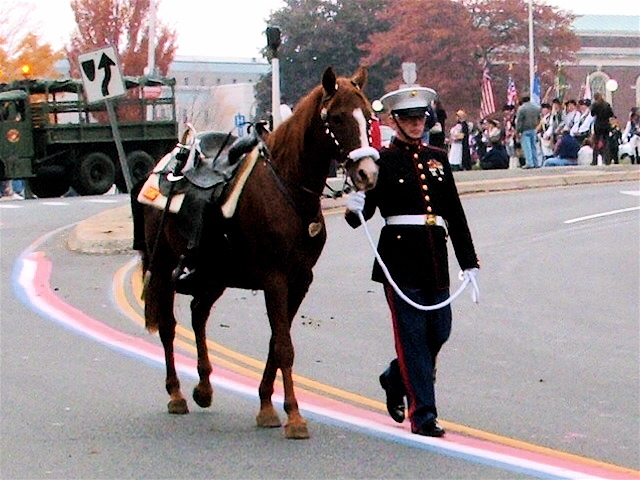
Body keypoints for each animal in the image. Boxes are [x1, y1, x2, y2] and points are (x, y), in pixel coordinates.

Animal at [132, 66, 378, 438]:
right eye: (336, 117)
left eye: (368, 116)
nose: (367, 173)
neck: (288, 189)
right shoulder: (275, 279)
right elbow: (284, 347)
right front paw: (294, 416)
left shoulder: (299, 282)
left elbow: (277, 342)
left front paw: (266, 406)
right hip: (162, 265)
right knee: (169, 326)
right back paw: (176, 394)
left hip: (214, 274)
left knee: (198, 313)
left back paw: (203, 387)